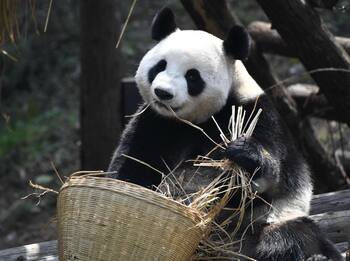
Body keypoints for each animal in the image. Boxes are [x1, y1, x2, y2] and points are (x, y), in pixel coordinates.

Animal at [108, 8, 342, 260]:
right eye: (160, 66)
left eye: (192, 76)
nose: (163, 93)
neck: (193, 121)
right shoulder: (153, 121)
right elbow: (134, 164)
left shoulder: (256, 113)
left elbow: (269, 176)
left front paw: (243, 154)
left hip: (263, 222)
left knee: (292, 234)